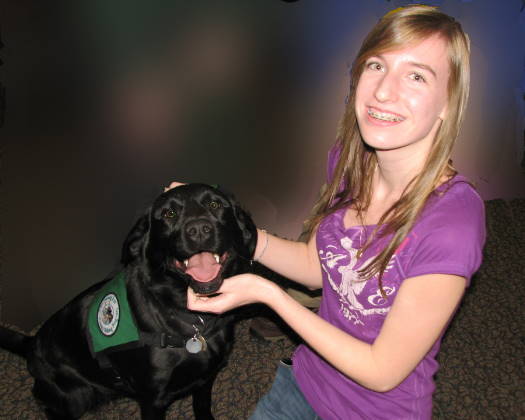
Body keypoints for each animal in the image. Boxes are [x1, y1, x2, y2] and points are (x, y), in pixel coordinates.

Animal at [0, 185, 256, 420]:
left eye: (215, 204)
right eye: (169, 214)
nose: (199, 230)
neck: (192, 321)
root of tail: (31, 343)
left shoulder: (207, 377)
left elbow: (202, 405)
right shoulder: (153, 400)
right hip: (74, 397)